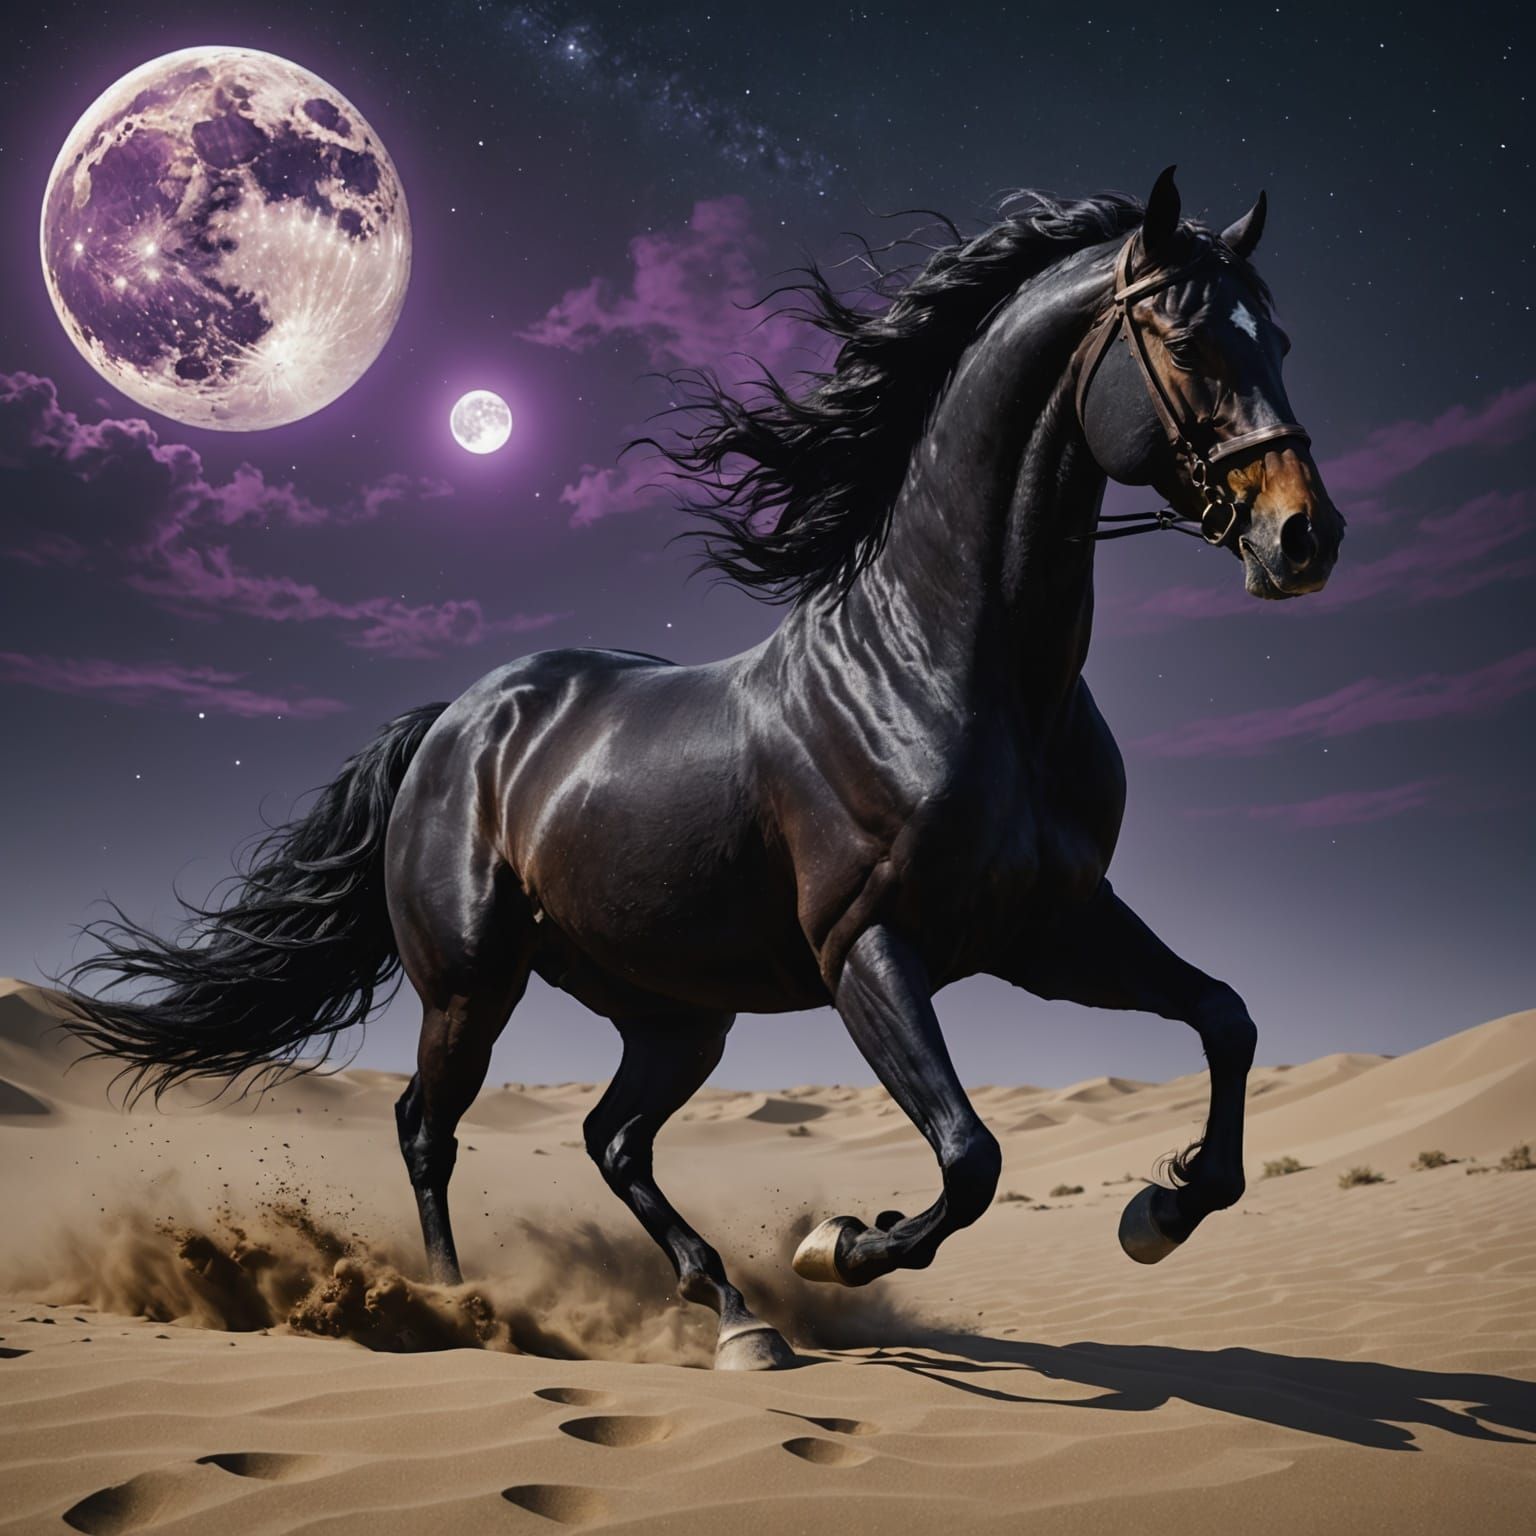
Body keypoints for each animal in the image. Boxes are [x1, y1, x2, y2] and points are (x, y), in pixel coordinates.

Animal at [61, 167, 1346, 1371]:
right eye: (1184, 335)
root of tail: (455, 725)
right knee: (429, 1126)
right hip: (473, 984)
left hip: (678, 1013)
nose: (1304, 538)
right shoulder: (866, 948)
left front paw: (1161, 1208)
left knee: (612, 1138)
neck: (953, 665)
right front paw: (838, 1242)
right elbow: (971, 1158)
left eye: (1281, 340)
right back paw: (459, 1306)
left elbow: (1226, 1021)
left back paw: (732, 1313)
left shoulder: (1051, 927)